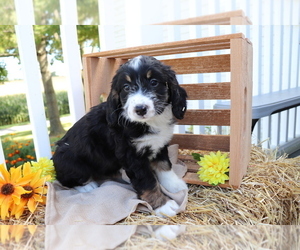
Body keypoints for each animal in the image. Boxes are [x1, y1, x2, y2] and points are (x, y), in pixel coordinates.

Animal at [51, 55, 188, 217]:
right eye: (126, 87)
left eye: (154, 82)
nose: (140, 109)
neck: (148, 122)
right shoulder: (131, 156)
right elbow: (147, 181)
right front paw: (163, 205)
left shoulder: (158, 145)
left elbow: (165, 166)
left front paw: (175, 185)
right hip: (68, 158)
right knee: (65, 179)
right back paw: (87, 186)